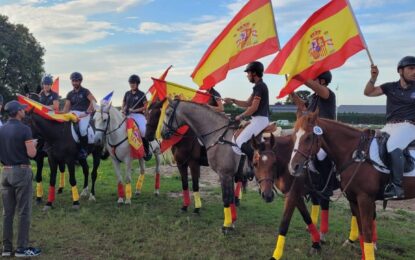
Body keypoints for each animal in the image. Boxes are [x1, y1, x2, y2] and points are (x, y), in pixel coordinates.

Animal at [161, 98, 255, 233]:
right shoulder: (181, 164)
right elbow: (185, 184)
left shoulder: (207, 168)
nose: (163, 133)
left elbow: (219, 195)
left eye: (168, 113)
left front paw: (225, 225)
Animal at [288, 108, 414, 260]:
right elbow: (361, 231)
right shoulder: (353, 199)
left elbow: (366, 231)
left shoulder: (365, 198)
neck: (355, 155)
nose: (293, 167)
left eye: (308, 137)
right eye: (294, 136)